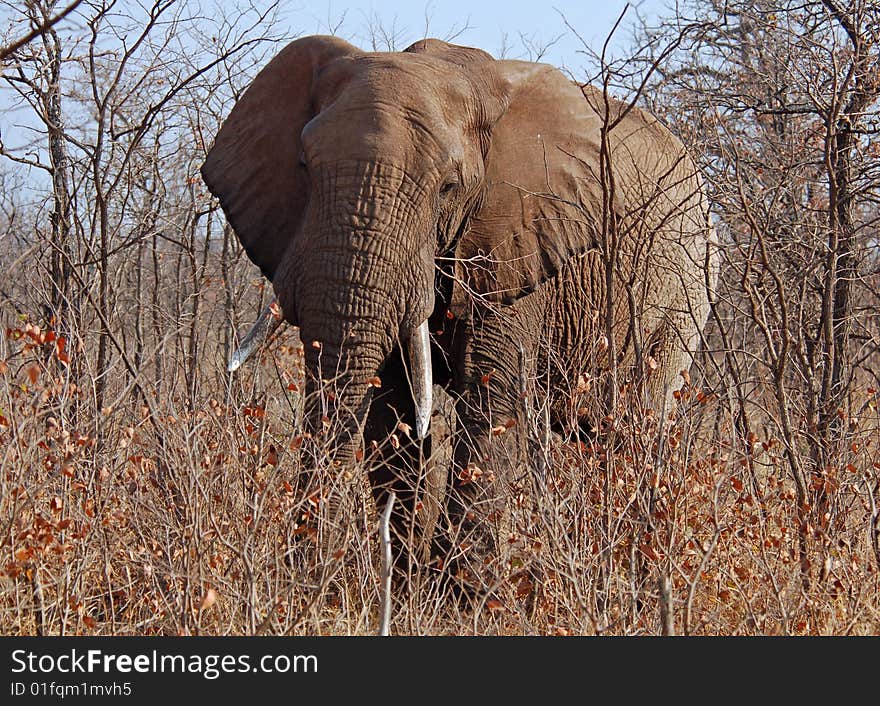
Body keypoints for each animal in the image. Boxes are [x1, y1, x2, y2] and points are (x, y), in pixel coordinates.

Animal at [203, 34, 720, 592]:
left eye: (448, 187)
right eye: (302, 166)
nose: (305, 585)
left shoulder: (517, 239)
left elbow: (489, 399)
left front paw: (462, 597)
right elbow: (394, 408)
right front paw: (407, 591)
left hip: (686, 284)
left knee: (639, 423)